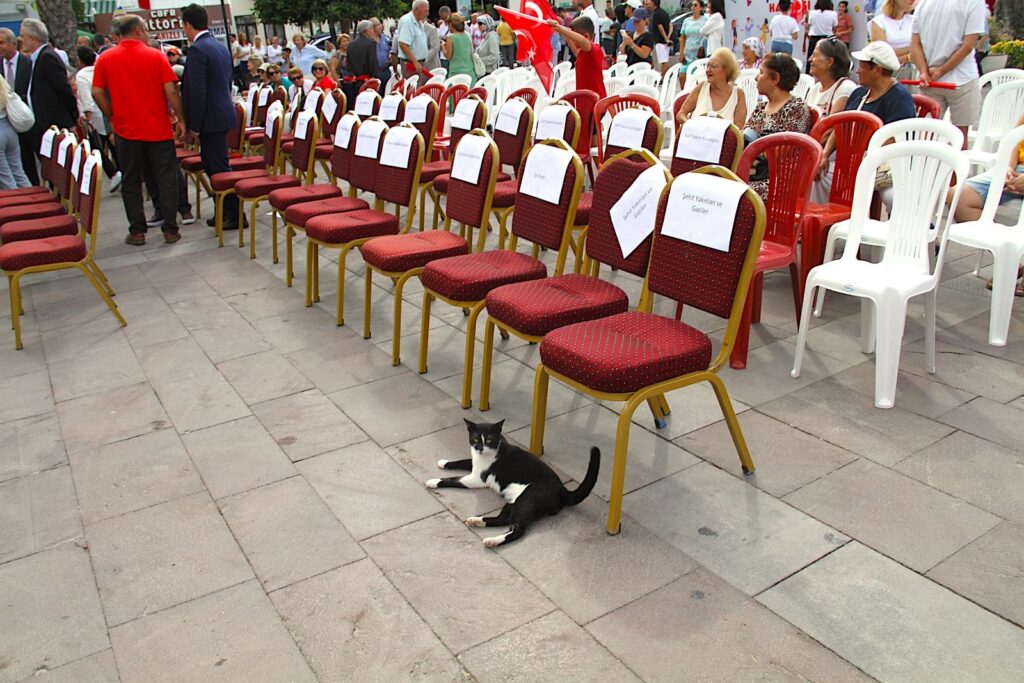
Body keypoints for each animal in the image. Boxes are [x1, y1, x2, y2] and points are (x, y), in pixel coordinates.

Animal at [425, 419, 598, 548]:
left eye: (489, 440)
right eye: (475, 439)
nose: (480, 448)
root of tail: (563, 490)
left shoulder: (476, 479)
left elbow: (453, 479)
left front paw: (433, 481)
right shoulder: (475, 465)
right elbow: (462, 461)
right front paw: (444, 462)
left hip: (526, 500)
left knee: (518, 530)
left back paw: (491, 541)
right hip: (514, 502)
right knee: (503, 520)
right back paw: (477, 521)